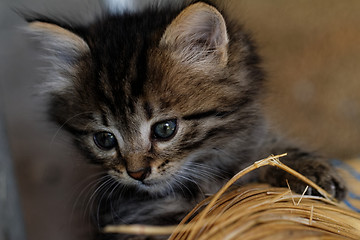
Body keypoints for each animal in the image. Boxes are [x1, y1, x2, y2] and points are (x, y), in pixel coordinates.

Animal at [26, 0, 346, 239]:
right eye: (104, 139)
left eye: (165, 129)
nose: (137, 174)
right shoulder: (134, 217)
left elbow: (270, 157)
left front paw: (309, 173)